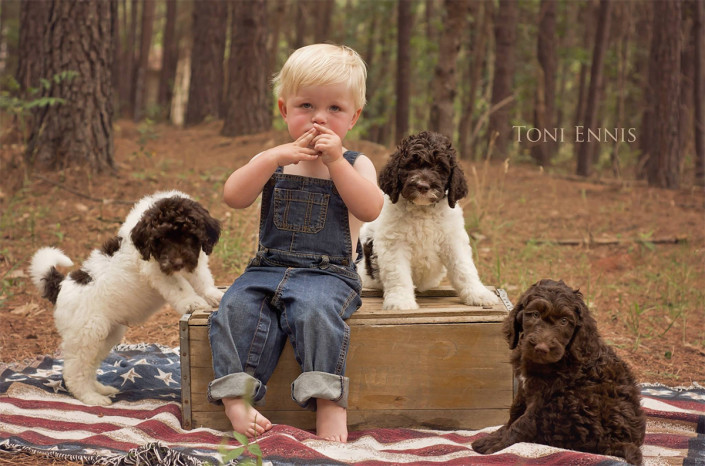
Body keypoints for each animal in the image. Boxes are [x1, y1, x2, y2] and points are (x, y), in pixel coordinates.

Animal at [29, 189, 223, 404]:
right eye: (161, 239)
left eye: (190, 235)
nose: (178, 262)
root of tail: (61, 286)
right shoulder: (157, 270)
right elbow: (180, 287)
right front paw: (192, 302)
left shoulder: (193, 262)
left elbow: (201, 277)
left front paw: (213, 294)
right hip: (87, 333)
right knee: (74, 371)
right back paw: (91, 397)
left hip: (106, 335)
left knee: (89, 366)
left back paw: (100, 389)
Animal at [354, 131, 498, 310]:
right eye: (410, 165)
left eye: (440, 167)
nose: (423, 186)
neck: (422, 210)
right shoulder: (394, 244)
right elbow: (398, 274)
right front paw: (401, 301)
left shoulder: (453, 240)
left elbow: (464, 268)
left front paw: (479, 294)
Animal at [470, 278, 648, 464]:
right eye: (535, 315)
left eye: (564, 321)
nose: (541, 348)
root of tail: (615, 443)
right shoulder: (524, 388)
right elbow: (514, 412)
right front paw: (497, 434)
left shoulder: (545, 401)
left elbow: (521, 423)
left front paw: (497, 444)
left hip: (576, 404)